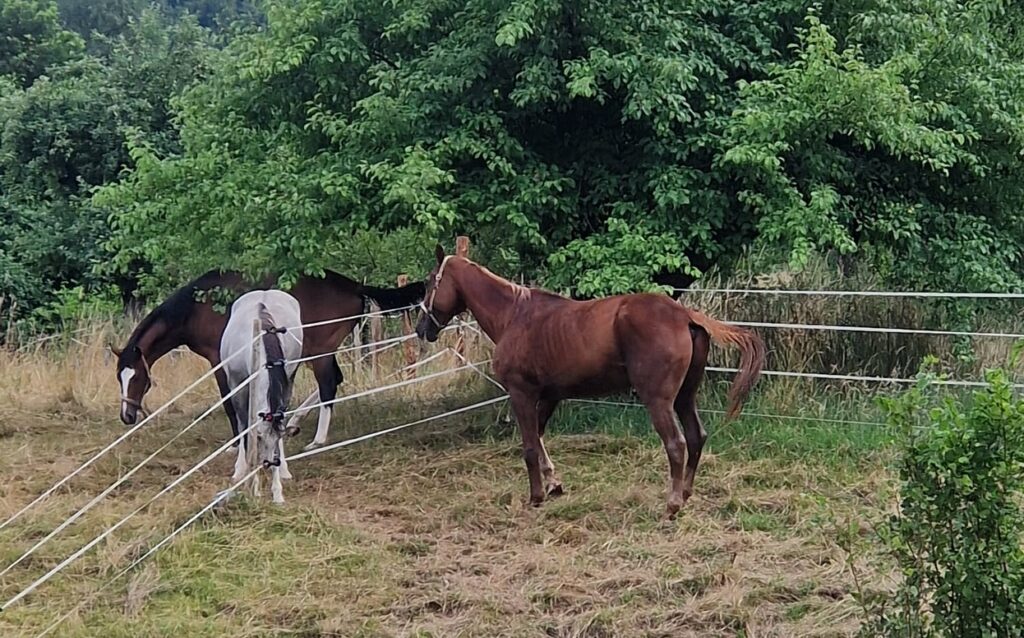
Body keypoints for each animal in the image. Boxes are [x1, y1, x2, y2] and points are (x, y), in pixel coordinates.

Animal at [112, 269, 424, 451]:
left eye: (138, 377)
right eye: (119, 377)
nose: (127, 416)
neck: (196, 308)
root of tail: (354, 286)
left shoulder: (219, 362)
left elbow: (229, 403)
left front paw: (237, 443)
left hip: (320, 352)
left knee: (328, 386)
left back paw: (318, 439)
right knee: (334, 380)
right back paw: (294, 423)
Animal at [221, 290, 303, 504]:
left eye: (274, 443)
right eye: (260, 442)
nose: (270, 463)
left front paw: (277, 491)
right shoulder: (237, 386)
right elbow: (244, 429)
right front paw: (250, 482)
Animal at [415, 246, 766, 519]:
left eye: (431, 281)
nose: (421, 329)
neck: (515, 315)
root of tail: (685, 315)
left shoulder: (521, 393)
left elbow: (529, 445)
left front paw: (536, 497)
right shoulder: (549, 396)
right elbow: (539, 438)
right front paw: (554, 484)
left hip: (659, 400)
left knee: (676, 444)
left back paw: (672, 504)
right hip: (684, 397)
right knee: (695, 437)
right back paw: (687, 493)